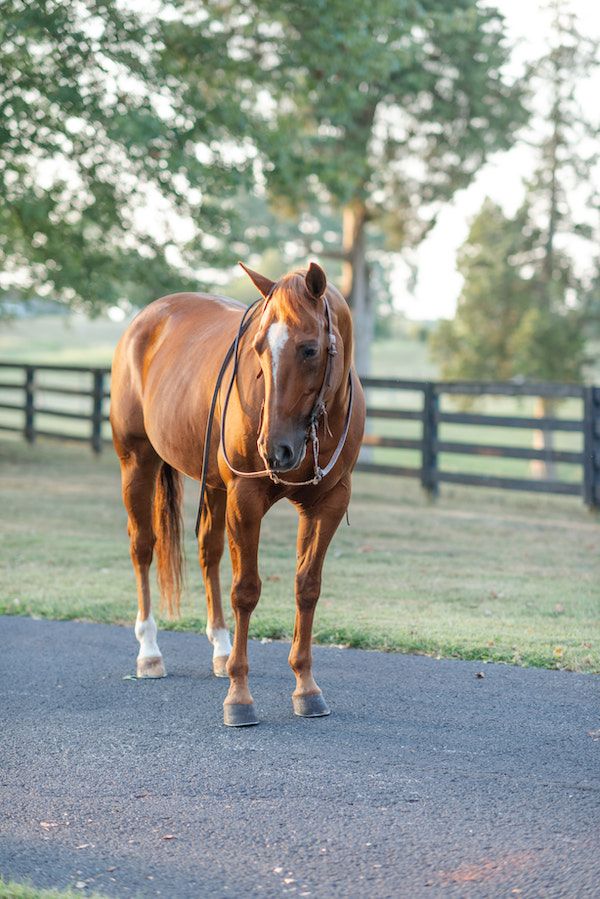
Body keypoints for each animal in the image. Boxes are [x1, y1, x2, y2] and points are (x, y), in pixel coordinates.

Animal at [111, 260, 366, 724]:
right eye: (259, 348)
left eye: (309, 349)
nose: (275, 449)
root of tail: (146, 318)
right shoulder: (245, 499)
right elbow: (245, 591)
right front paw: (239, 696)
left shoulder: (329, 503)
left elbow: (307, 587)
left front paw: (306, 687)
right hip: (136, 461)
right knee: (143, 547)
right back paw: (149, 651)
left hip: (213, 484)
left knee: (208, 551)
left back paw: (220, 648)